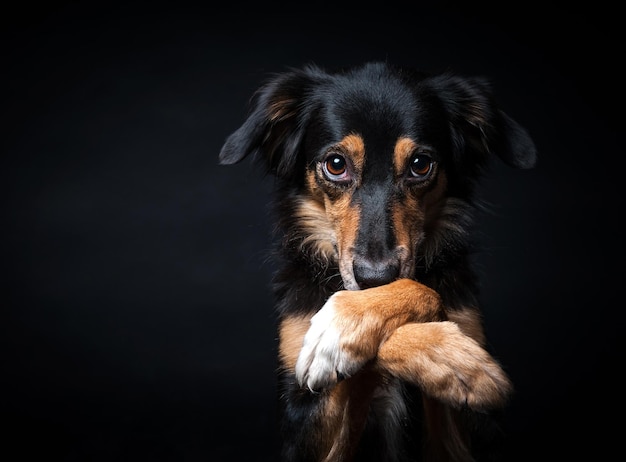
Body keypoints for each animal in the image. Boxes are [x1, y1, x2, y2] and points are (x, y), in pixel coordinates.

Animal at [217, 61, 532, 462]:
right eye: (336, 165)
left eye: (420, 164)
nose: (373, 278)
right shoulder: (302, 421)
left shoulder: (471, 438)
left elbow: (420, 290)